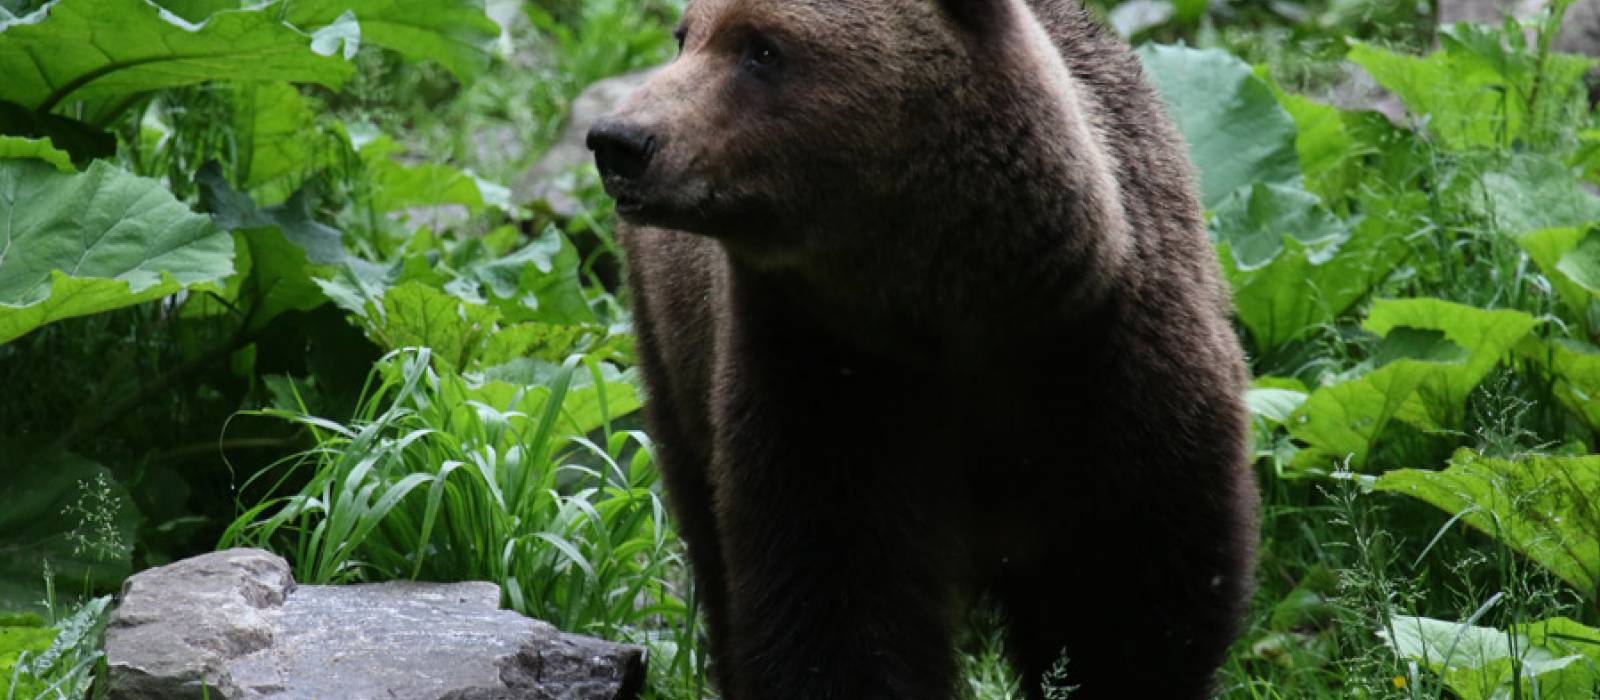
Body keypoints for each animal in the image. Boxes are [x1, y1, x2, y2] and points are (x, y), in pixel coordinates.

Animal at [588, 0, 1260, 696]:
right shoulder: (821, 374)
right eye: (684, 37)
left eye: (764, 49)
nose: (619, 140)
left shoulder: (1111, 372)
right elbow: (831, 598)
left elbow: (1128, 600)